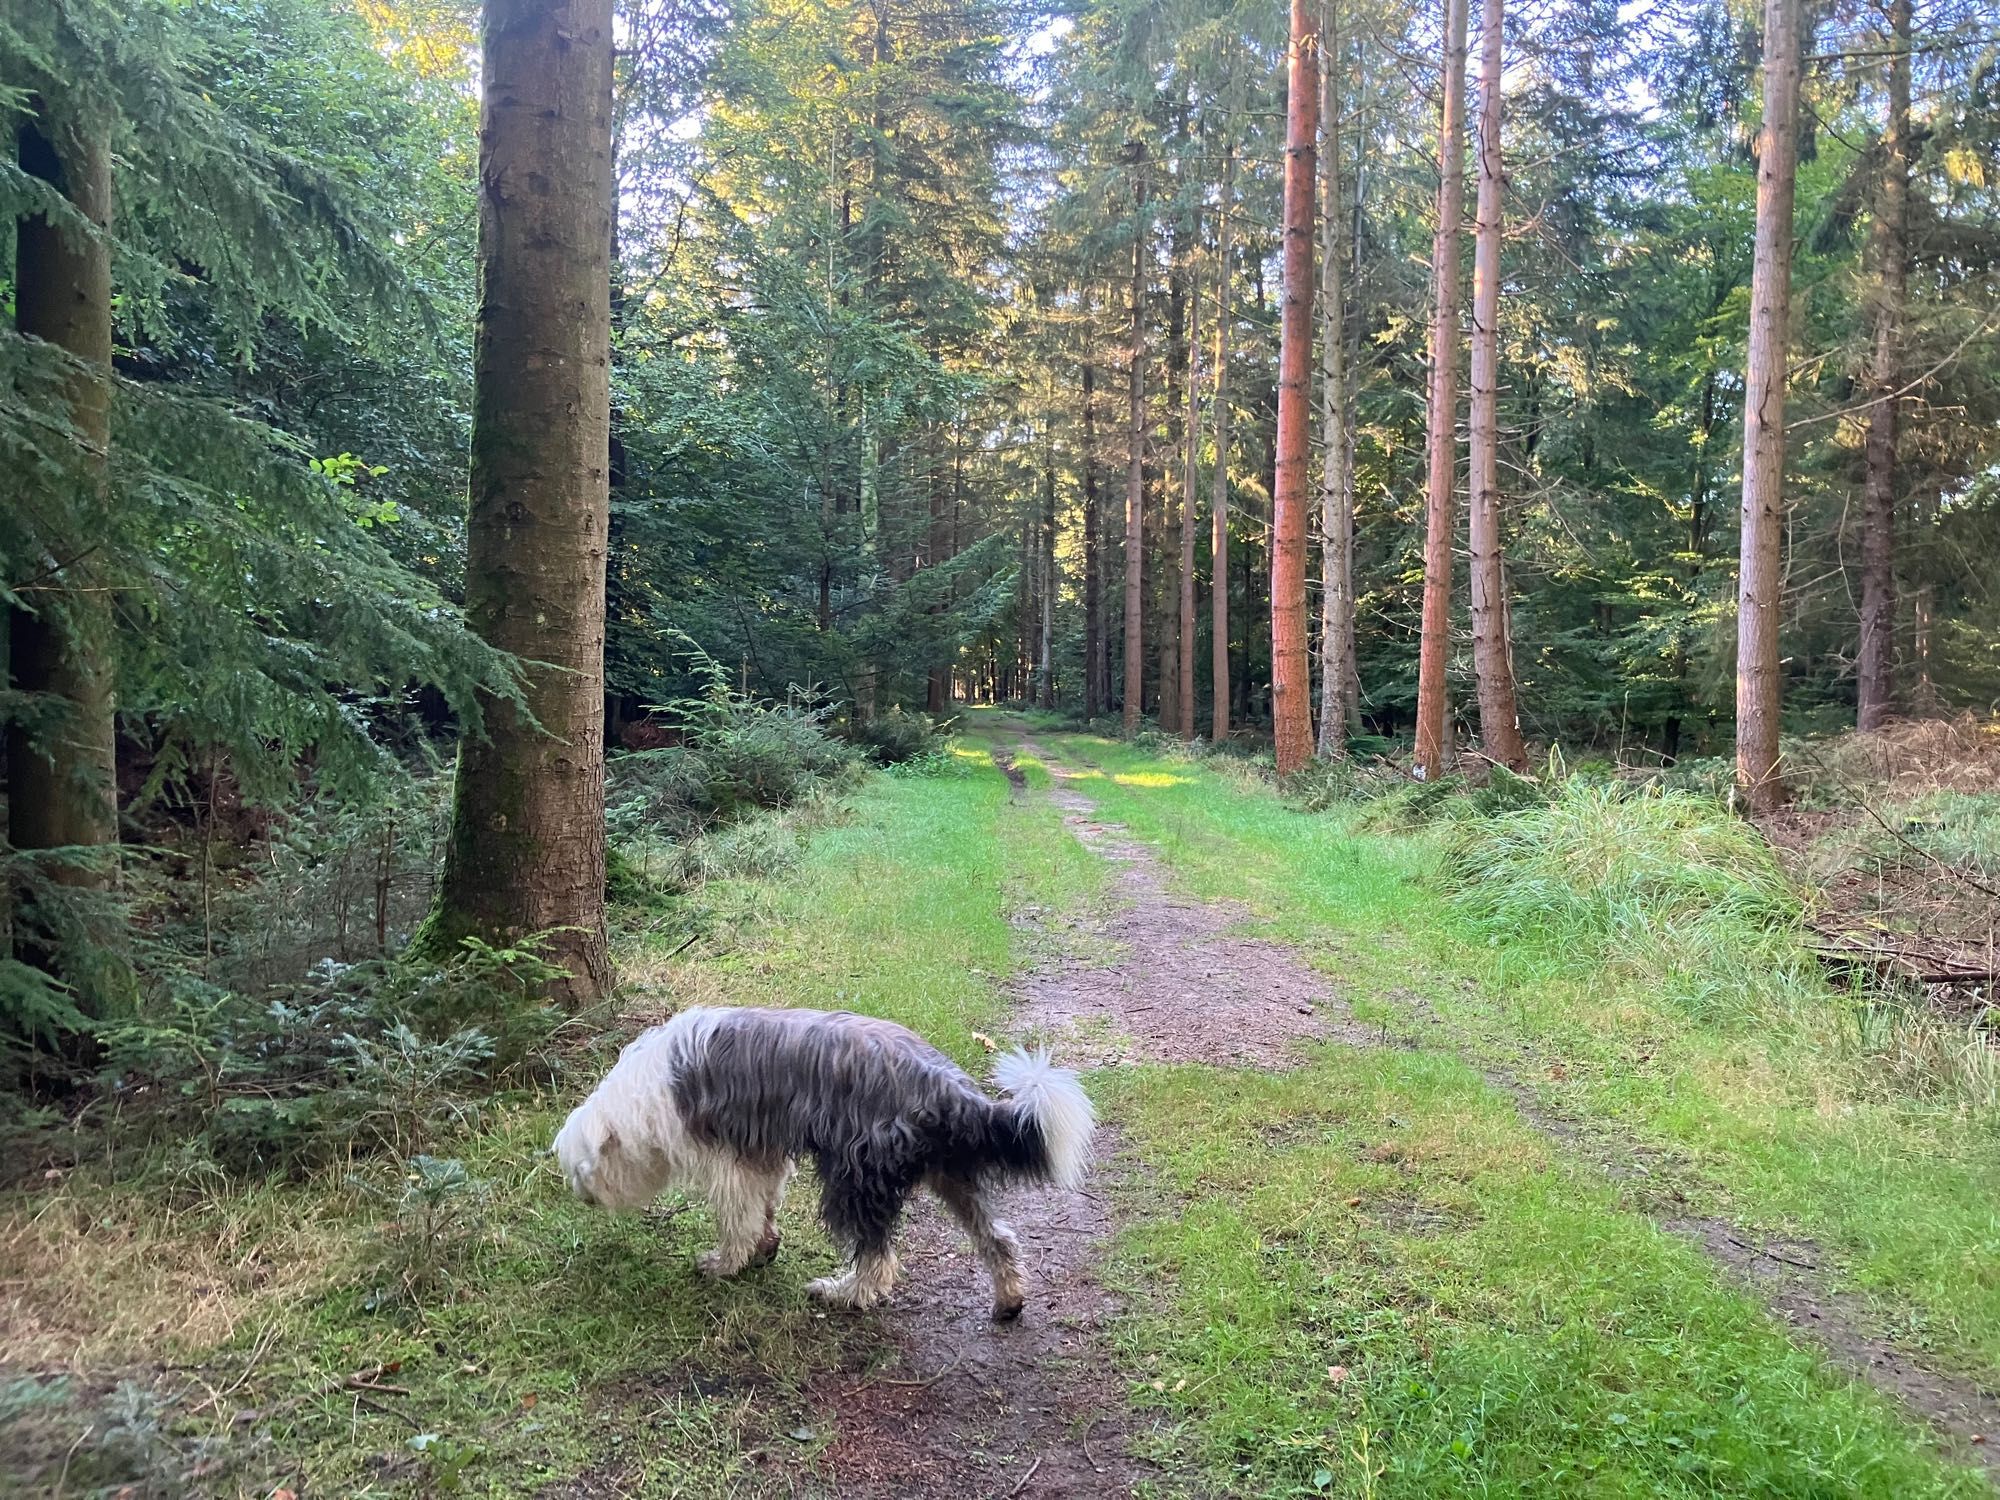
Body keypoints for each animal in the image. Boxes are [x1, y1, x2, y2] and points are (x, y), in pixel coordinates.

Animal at [556, 1012, 1104, 1312]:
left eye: (582, 1170)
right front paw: (765, 1247)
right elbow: (763, 1203)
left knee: (878, 1259)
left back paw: (844, 1293)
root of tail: (947, 1086)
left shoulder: (727, 1159)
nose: (581, 1197)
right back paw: (1009, 1299)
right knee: (999, 1239)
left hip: (855, 1174)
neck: (645, 1093)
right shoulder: (760, 1153)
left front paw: (724, 1264)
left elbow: (737, 1216)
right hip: (951, 1174)